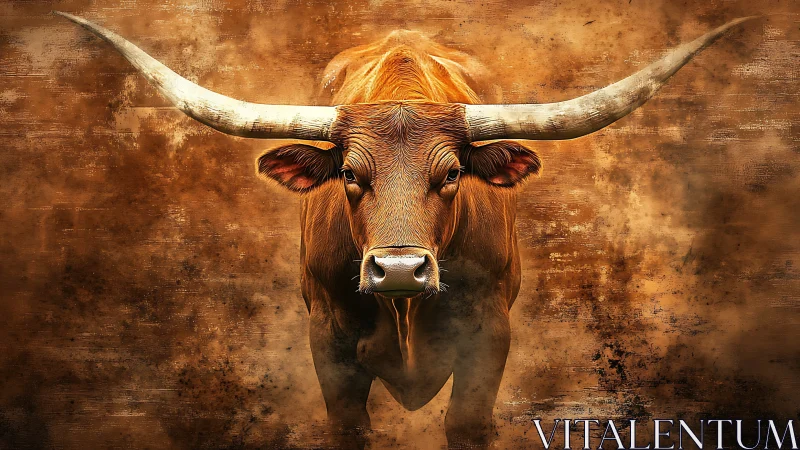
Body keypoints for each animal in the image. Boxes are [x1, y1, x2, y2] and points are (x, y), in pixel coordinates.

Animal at [56, 12, 755, 449]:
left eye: (450, 175)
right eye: (349, 175)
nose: (397, 269)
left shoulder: (489, 336)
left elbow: (466, 424)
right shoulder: (329, 342)